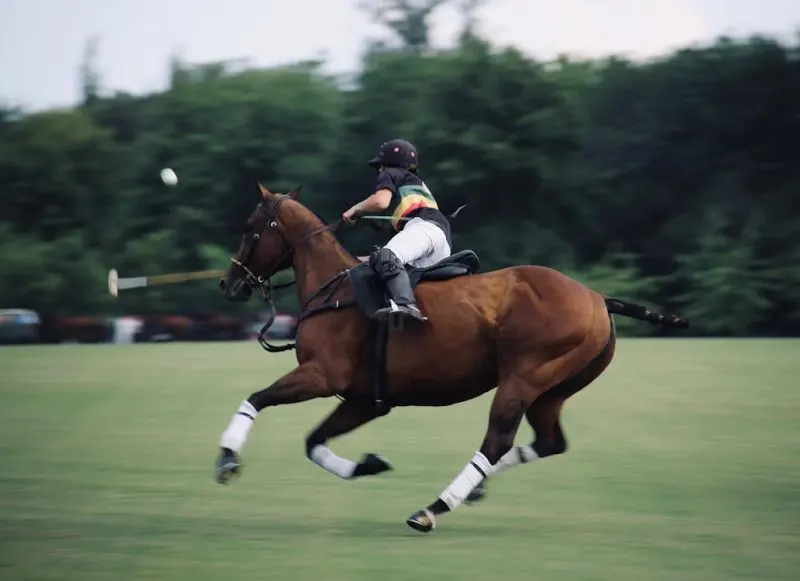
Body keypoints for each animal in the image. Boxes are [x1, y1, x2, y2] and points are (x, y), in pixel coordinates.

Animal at [215, 184, 690, 534]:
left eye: (250, 227)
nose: (228, 284)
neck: (333, 290)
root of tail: (597, 298)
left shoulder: (321, 375)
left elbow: (256, 398)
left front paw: (226, 460)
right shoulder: (365, 399)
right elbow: (314, 441)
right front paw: (369, 464)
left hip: (523, 378)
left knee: (497, 442)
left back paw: (432, 508)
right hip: (552, 389)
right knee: (549, 442)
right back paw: (474, 490)